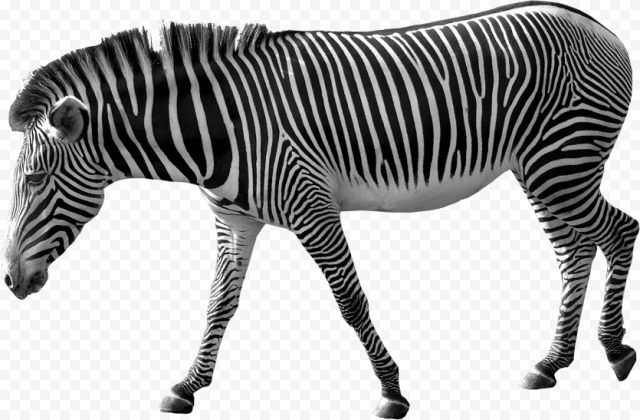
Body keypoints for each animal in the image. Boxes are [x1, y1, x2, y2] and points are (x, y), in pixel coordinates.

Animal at [2, 1, 637, 418]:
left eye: (33, 179)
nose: (10, 281)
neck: (215, 132)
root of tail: (599, 25)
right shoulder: (234, 218)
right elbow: (218, 304)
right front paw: (187, 385)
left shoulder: (312, 207)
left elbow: (350, 301)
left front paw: (391, 391)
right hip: (540, 168)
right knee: (576, 250)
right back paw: (552, 362)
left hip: (562, 160)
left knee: (619, 231)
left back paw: (614, 350)